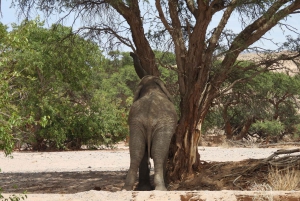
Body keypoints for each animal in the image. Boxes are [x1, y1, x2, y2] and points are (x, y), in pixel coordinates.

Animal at [122, 52, 178, 191]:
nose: (131, 53)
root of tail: (149, 112)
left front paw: (143, 188)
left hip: (137, 122)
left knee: (137, 151)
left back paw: (128, 188)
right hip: (162, 123)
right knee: (158, 152)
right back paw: (161, 189)